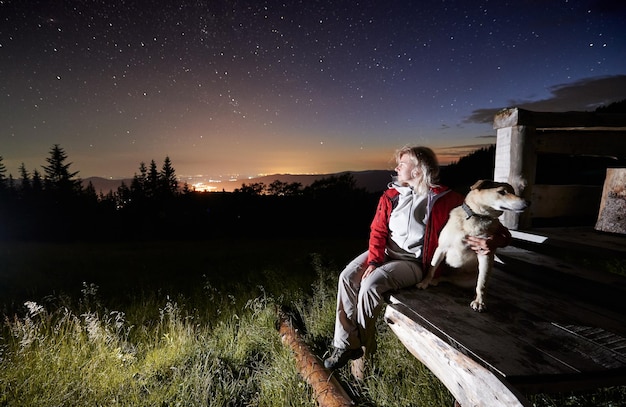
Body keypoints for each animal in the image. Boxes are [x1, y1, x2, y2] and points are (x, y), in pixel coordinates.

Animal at [414, 180, 528, 310]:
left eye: (513, 192)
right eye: (502, 192)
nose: (528, 202)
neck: (477, 216)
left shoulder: (485, 254)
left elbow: (482, 283)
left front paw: (479, 302)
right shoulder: (441, 248)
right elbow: (431, 269)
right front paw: (424, 282)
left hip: (468, 279)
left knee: (463, 281)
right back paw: (434, 280)